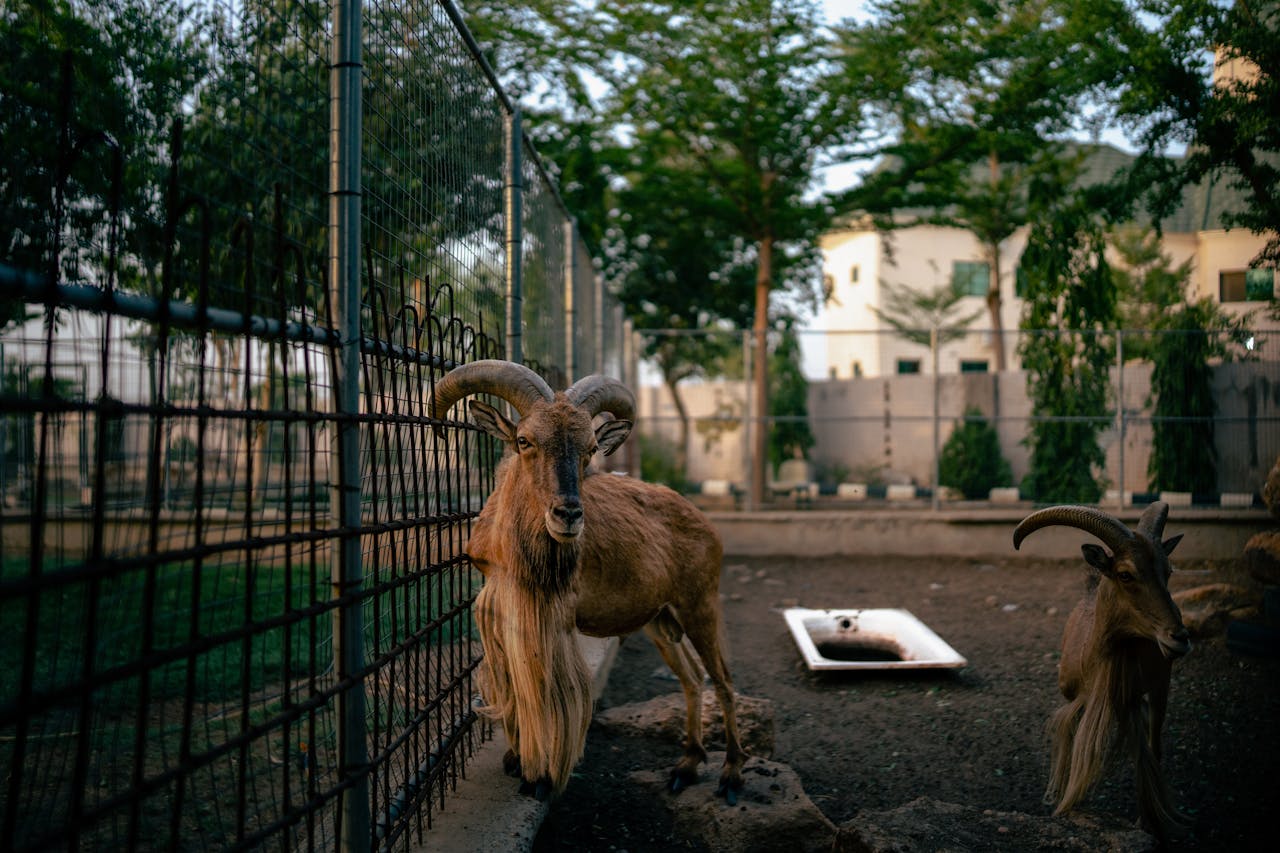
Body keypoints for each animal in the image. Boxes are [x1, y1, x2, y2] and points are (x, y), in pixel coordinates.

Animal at [431, 359, 746, 803]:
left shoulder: (552, 619)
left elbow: (547, 694)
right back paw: (686, 764)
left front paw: (539, 777)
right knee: (691, 678)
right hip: (661, 621)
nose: (568, 515)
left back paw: (731, 774)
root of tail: (706, 522)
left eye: (591, 449)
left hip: (699, 607)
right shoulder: (501, 612)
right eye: (524, 440)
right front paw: (514, 760)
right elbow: (514, 689)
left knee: (723, 682)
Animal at [1013, 501, 1190, 843]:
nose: (1179, 637)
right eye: (1125, 574)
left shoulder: (1140, 694)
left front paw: (1147, 819)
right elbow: (1073, 740)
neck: (1096, 663)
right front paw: (1067, 802)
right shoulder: (1075, 697)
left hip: (1160, 685)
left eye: (1169, 571)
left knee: (1153, 741)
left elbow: (1144, 750)